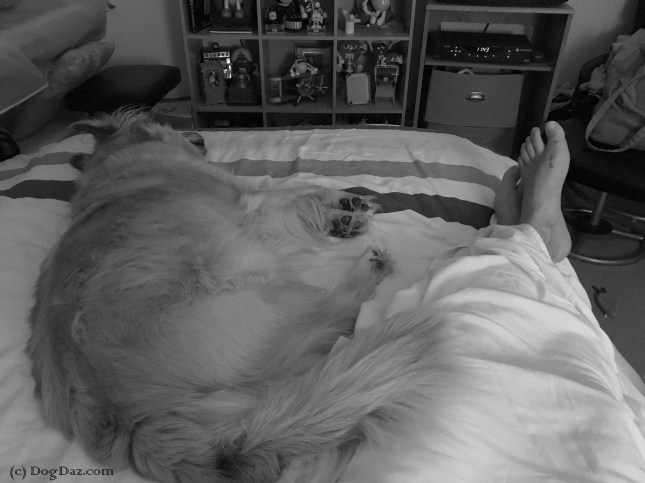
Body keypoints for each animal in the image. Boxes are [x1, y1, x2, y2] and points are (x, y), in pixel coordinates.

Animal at [27, 111, 445, 483]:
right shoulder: (250, 202)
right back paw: (368, 269)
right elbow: (294, 190)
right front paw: (342, 202)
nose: (202, 135)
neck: (119, 157)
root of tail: (136, 422)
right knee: (343, 312)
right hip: (273, 297)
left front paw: (342, 213)